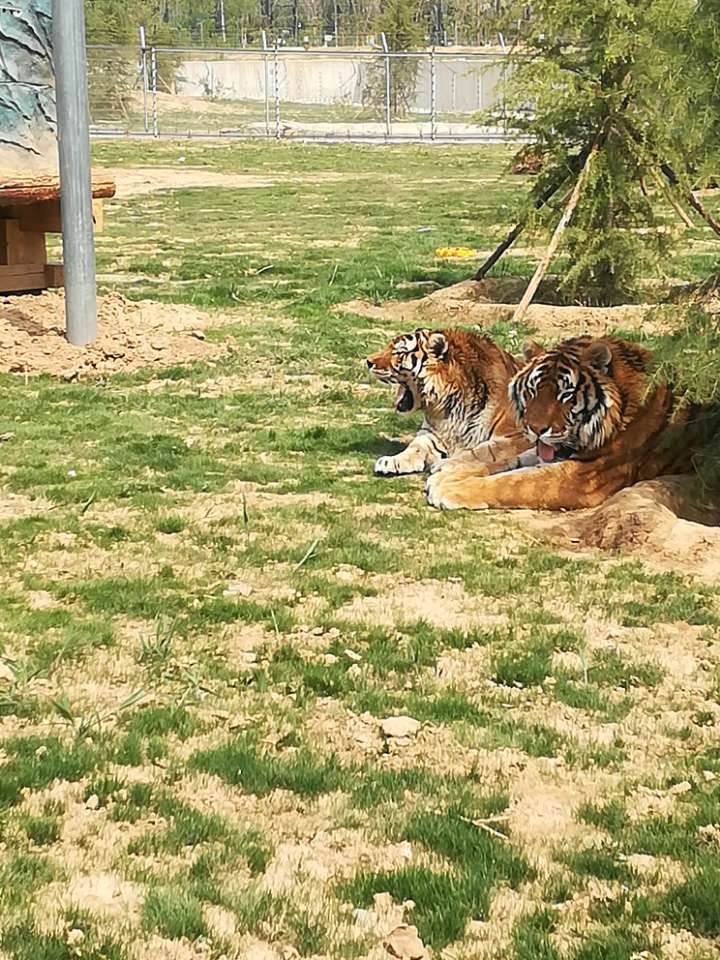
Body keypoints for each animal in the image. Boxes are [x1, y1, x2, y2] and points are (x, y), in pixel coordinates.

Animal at [366, 326, 528, 476]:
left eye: (399, 352)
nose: (368, 362)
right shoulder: (433, 432)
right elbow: (416, 445)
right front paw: (390, 461)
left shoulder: (516, 436)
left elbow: (481, 451)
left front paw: (444, 464)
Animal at [424, 332, 712, 510]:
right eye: (532, 390)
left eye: (565, 395)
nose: (534, 429)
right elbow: (507, 463)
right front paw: (449, 472)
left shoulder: (584, 477)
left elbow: (514, 481)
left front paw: (447, 488)